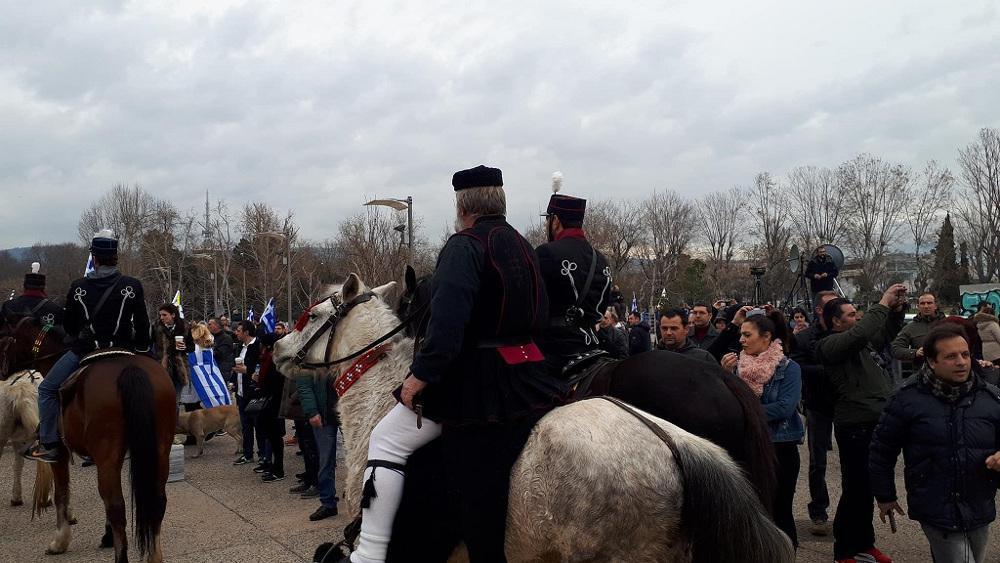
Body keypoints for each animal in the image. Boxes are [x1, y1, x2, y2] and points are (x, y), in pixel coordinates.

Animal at [32, 351, 178, 563]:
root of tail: (131, 368)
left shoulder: (61, 455)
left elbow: (61, 494)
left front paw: (59, 541)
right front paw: (108, 536)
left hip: (107, 455)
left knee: (116, 507)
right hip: (160, 452)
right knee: (157, 502)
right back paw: (154, 555)